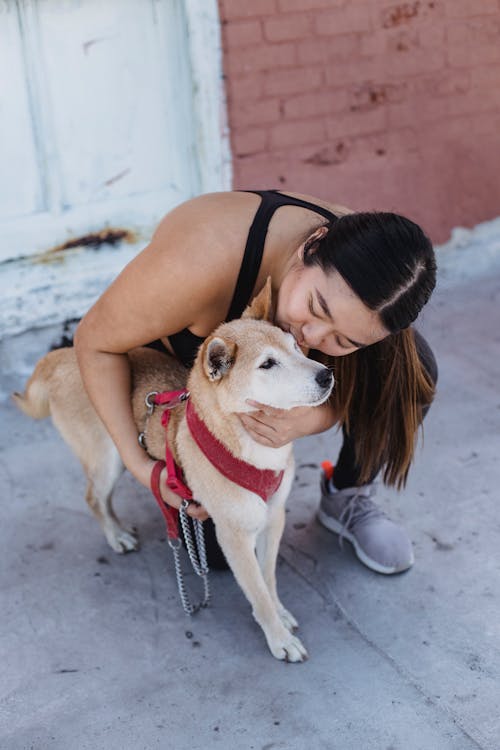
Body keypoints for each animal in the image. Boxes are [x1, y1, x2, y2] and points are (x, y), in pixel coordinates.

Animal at [14, 282, 336, 664]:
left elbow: (268, 577)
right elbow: (256, 590)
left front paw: (280, 612)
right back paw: (115, 534)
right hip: (109, 458)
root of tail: (62, 356)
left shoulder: (273, 517)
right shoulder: (234, 536)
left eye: (295, 346)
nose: (326, 375)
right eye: (268, 364)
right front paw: (278, 636)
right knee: (94, 497)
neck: (250, 446)